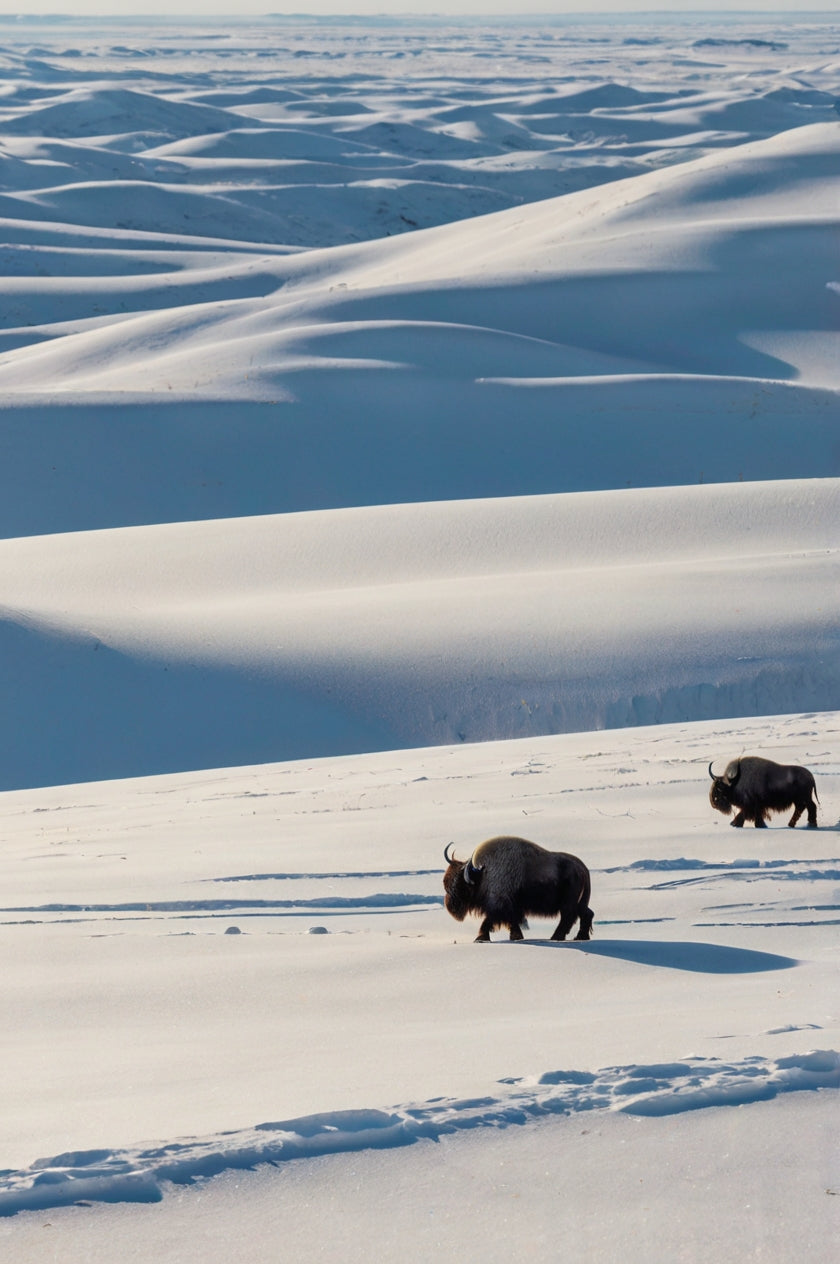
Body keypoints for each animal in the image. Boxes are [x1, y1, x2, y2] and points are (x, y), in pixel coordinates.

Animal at [443, 835, 593, 943]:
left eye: (459, 884)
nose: (450, 907)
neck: (481, 874)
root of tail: (583, 869)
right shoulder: (511, 907)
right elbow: (512, 922)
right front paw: (516, 936)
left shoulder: (498, 906)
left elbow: (488, 921)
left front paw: (480, 938)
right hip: (580, 903)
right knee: (587, 914)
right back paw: (579, 937)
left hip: (567, 904)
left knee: (568, 918)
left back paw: (556, 937)